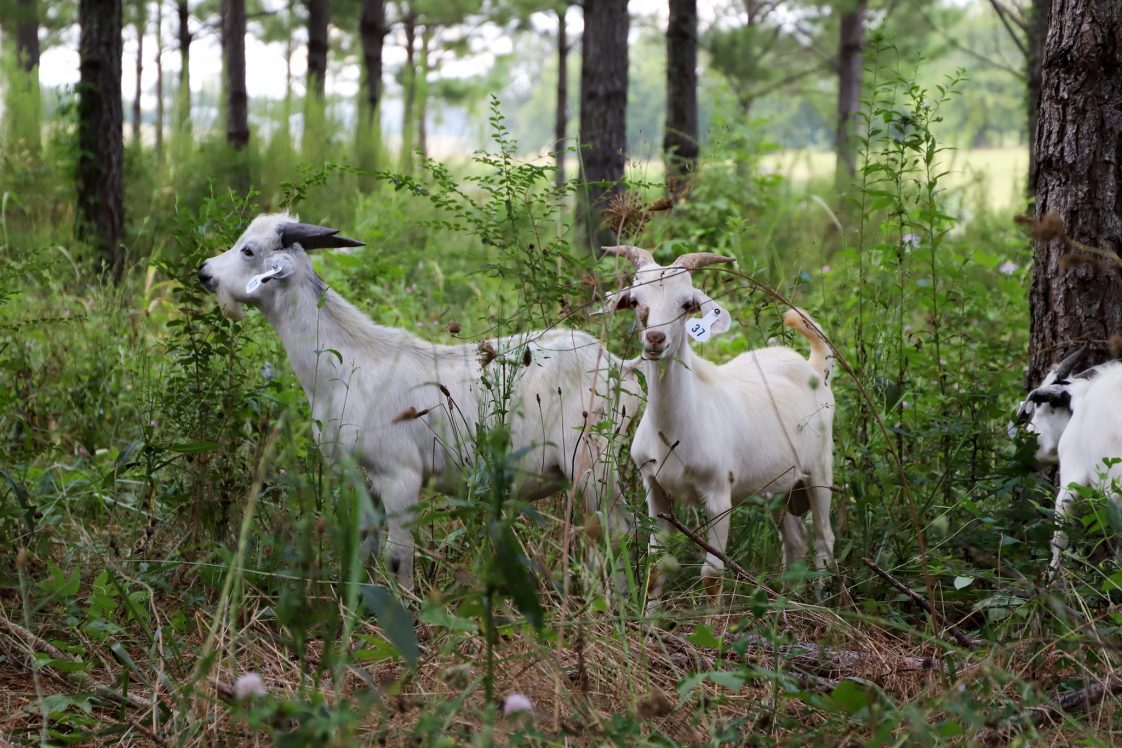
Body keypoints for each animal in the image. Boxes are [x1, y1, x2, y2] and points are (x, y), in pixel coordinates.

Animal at [197, 213, 639, 591]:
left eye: (248, 250)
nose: (205, 272)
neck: (348, 363)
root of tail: (621, 365)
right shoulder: (365, 481)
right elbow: (363, 548)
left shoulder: (400, 477)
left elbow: (398, 557)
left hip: (593, 462)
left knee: (622, 529)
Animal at [602, 244, 836, 603]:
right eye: (636, 300)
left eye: (686, 304)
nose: (655, 338)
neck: (673, 429)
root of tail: (814, 368)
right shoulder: (655, 490)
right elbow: (656, 568)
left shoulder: (718, 495)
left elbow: (712, 574)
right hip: (775, 487)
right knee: (796, 540)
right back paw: (787, 600)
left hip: (820, 470)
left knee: (824, 537)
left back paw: (822, 602)